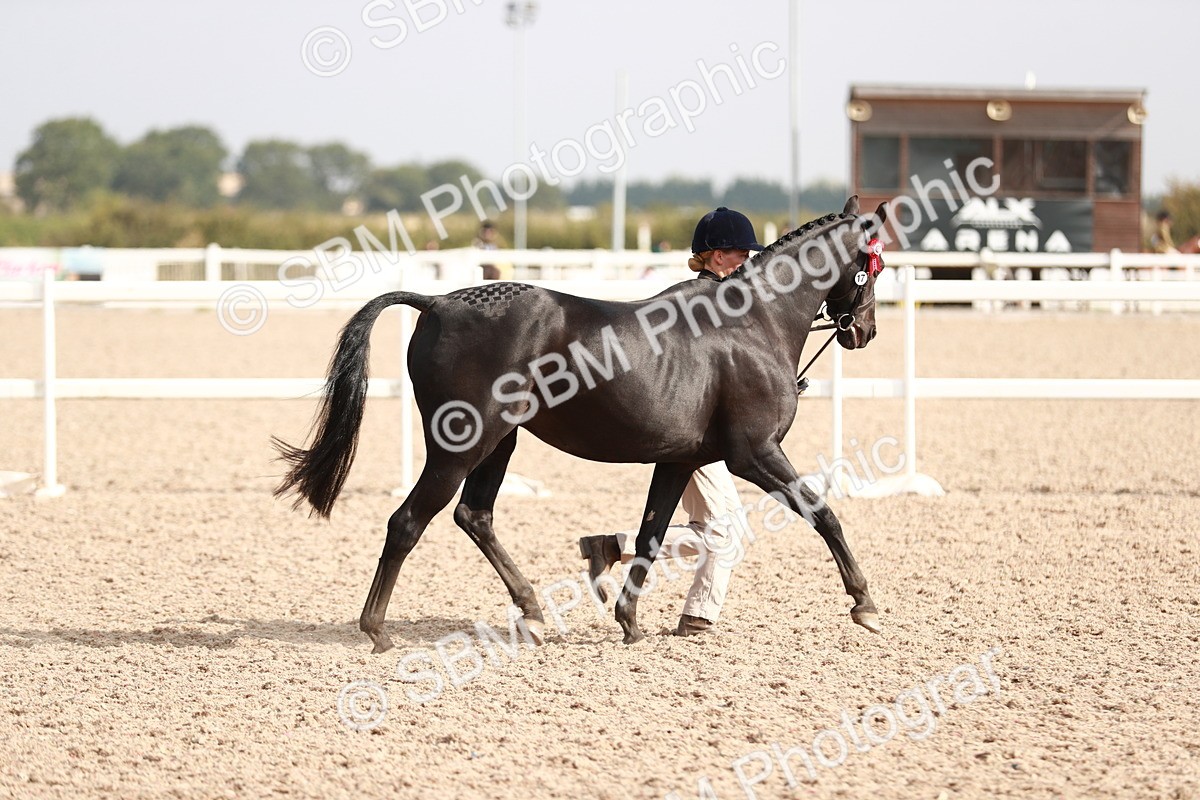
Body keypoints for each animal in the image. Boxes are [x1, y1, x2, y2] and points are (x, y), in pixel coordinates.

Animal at [274, 196, 888, 653]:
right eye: (876, 265)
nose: (864, 332)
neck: (751, 324)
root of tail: (438, 303)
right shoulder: (755, 453)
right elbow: (824, 513)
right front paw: (865, 604)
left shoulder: (680, 459)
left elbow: (650, 534)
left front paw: (630, 620)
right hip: (463, 445)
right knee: (407, 522)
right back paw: (377, 631)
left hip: (500, 443)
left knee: (475, 516)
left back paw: (532, 611)